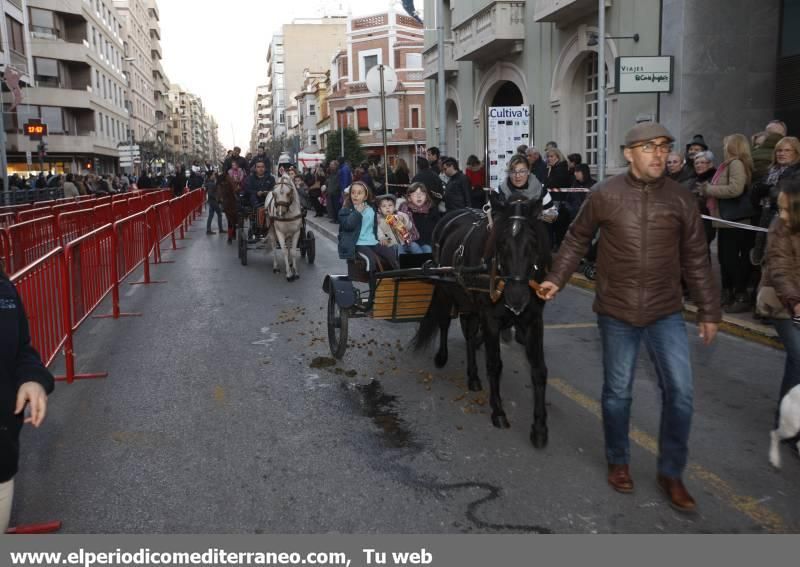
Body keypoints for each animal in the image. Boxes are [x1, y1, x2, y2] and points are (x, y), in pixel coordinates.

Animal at [412, 197, 552, 450]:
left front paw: (539, 428)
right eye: (502, 243)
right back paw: (442, 357)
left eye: (534, 243)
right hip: (447, 289)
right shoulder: (490, 318)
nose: (517, 297)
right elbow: (494, 364)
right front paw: (498, 411)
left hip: (469, 301)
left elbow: (539, 370)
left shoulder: (534, 320)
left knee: (469, 334)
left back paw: (473, 377)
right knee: (445, 323)